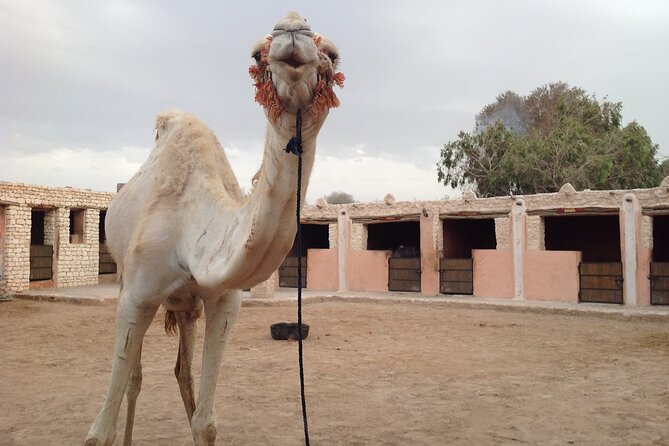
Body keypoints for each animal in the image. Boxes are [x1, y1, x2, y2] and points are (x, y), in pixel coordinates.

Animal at [84, 12, 343, 446]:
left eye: (333, 54)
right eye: (256, 54)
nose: (293, 28)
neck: (189, 232)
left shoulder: (224, 301)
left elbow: (205, 422)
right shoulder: (137, 297)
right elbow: (99, 431)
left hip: (186, 306)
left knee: (181, 372)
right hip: (123, 278)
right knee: (136, 379)